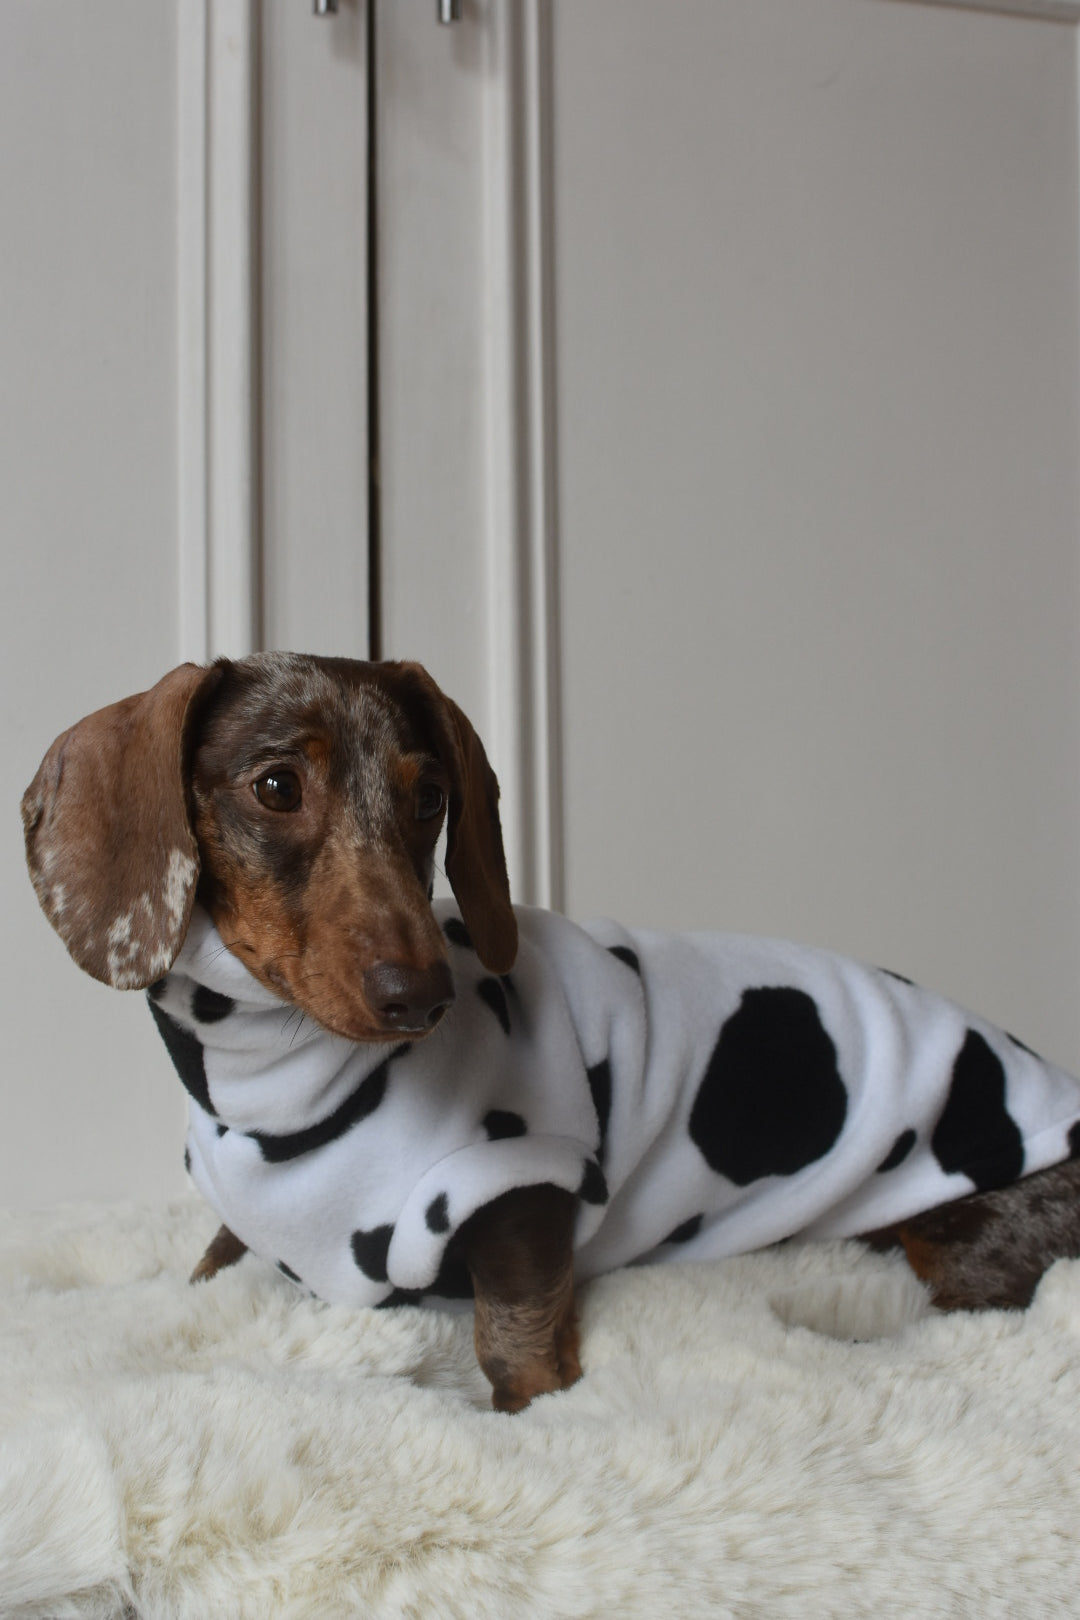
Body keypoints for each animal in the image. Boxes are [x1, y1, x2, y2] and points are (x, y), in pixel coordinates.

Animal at [22, 652, 1080, 1411]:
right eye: (277, 787)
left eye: (429, 797)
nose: (424, 995)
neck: (274, 1090)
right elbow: (208, 1270)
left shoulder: (524, 1183)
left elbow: (512, 1339)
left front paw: (533, 1407)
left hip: (968, 1236)